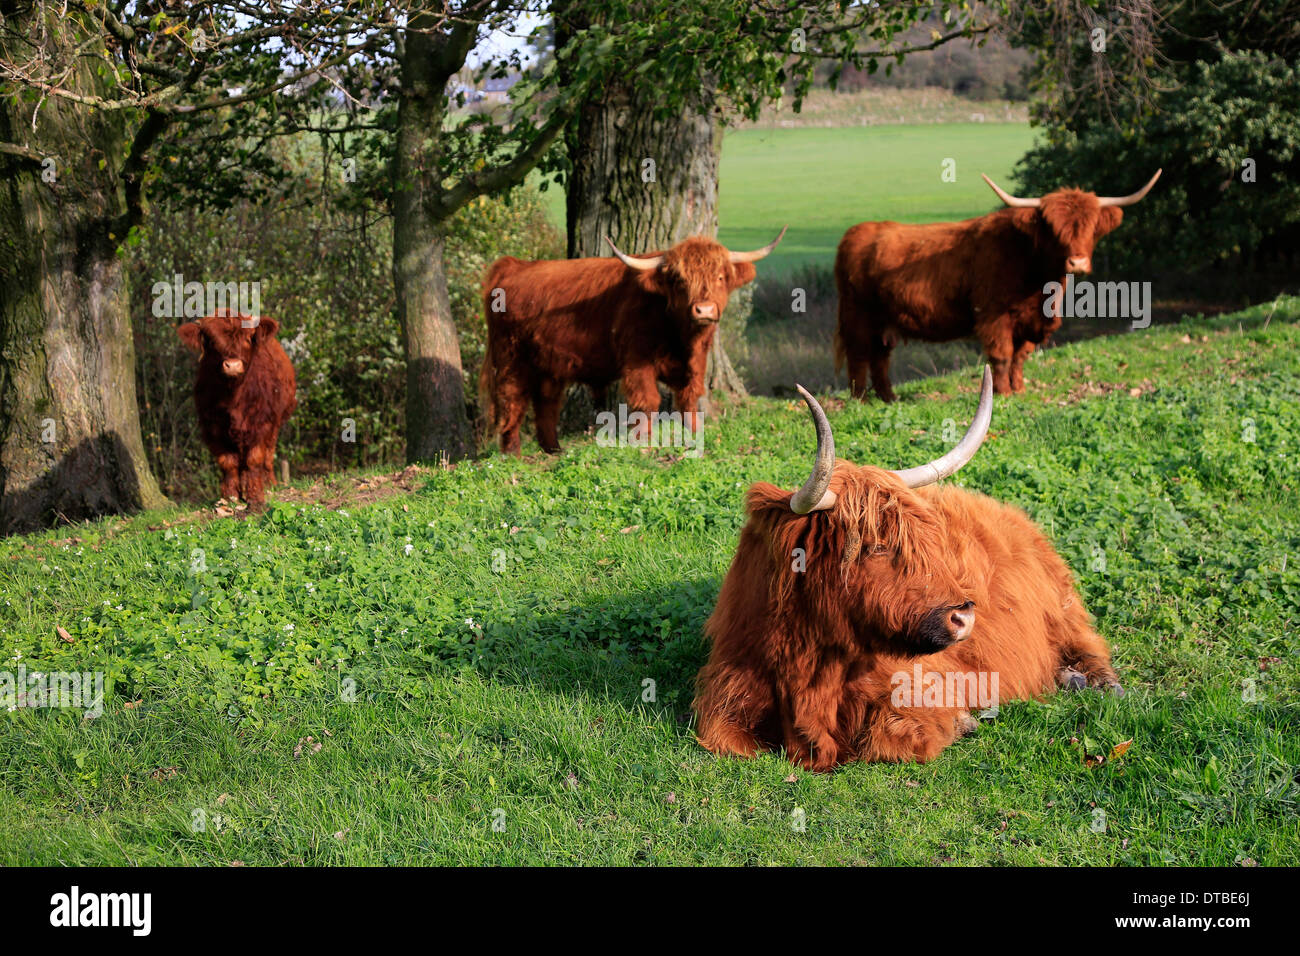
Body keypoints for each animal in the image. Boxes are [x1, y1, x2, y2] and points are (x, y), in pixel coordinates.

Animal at [178, 312, 297, 509]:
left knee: (267, 456)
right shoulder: (212, 428)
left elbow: (254, 459)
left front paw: (255, 496)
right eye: (211, 340)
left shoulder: (262, 423)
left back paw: (269, 484)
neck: (233, 396)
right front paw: (229, 498)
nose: (232, 365)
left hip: (276, 422)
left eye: (248, 338)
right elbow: (228, 462)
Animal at [478, 231, 780, 455]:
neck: (681, 338)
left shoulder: (694, 366)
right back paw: (512, 453)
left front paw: (694, 436)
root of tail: (512, 265)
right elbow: (648, 401)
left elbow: (689, 400)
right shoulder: (637, 362)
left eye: (720, 277)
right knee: (512, 399)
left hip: (549, 365)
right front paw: (643, 443)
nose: (704, 310)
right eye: (680, 281)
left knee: (546, 402)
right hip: (510, 358)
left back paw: (553, 449)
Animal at [696, 369, 1123, 775]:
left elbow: (888, 737)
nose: (964, 616)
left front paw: (963, 720)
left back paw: (1093, 682)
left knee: (1087, 645)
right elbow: (726, 739)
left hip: (1061, 608)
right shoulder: (726, 699)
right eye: (876, 546)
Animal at [837, 167, 1164, 400]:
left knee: (880, 357)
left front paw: (1019, 389)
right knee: (859, 355)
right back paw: (861, 399)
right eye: (1052, 228)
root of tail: (858, 231)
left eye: (1092, 226)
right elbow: (1003, 355)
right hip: (857, 316)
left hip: (884, 322)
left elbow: (1020, 356)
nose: (1078, 263)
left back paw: (888, 397)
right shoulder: (994, 317)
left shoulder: (1031, 321)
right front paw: (1004, 393)